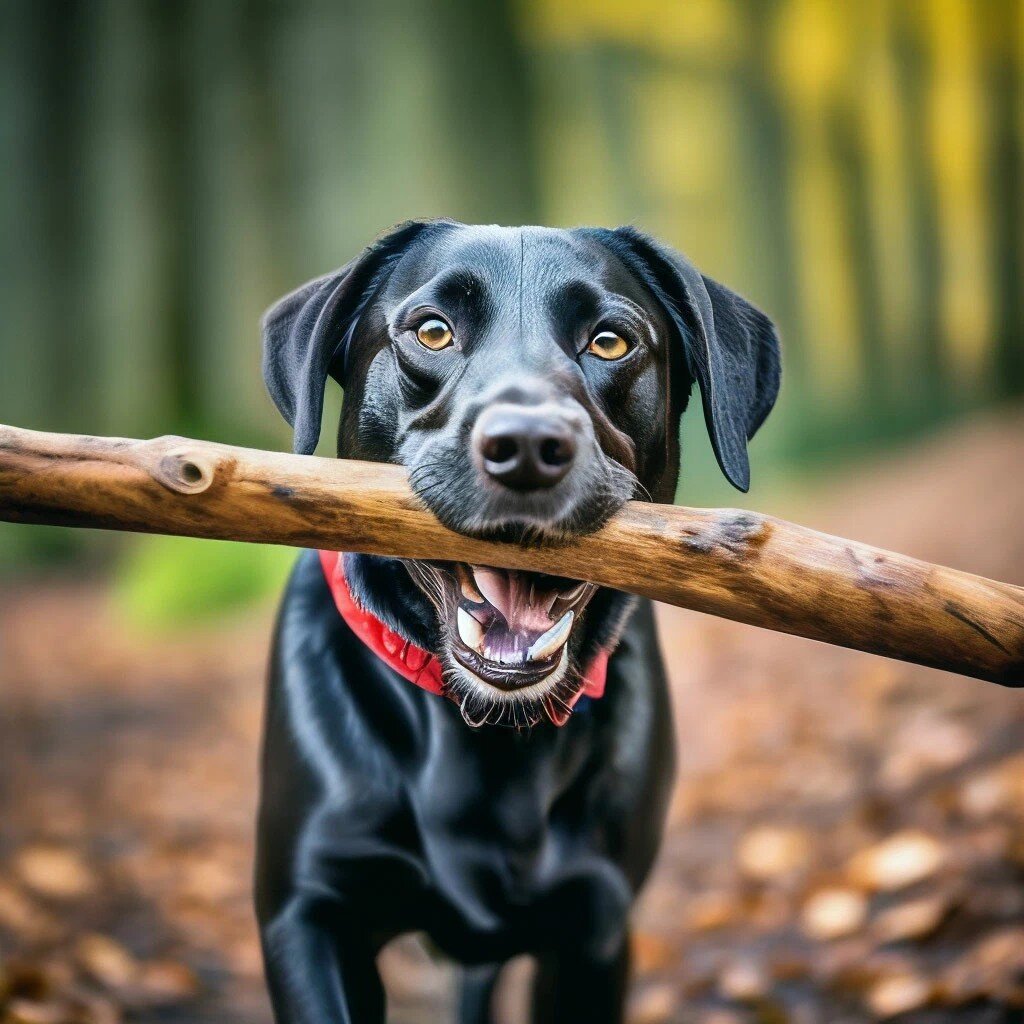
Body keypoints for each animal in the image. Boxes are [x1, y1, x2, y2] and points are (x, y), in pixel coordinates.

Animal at [253, 224, 774, 1024]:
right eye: (433, 331)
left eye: (611, 341)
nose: (527, 446)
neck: (484, 733)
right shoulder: (307, 915)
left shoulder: (594, 930)